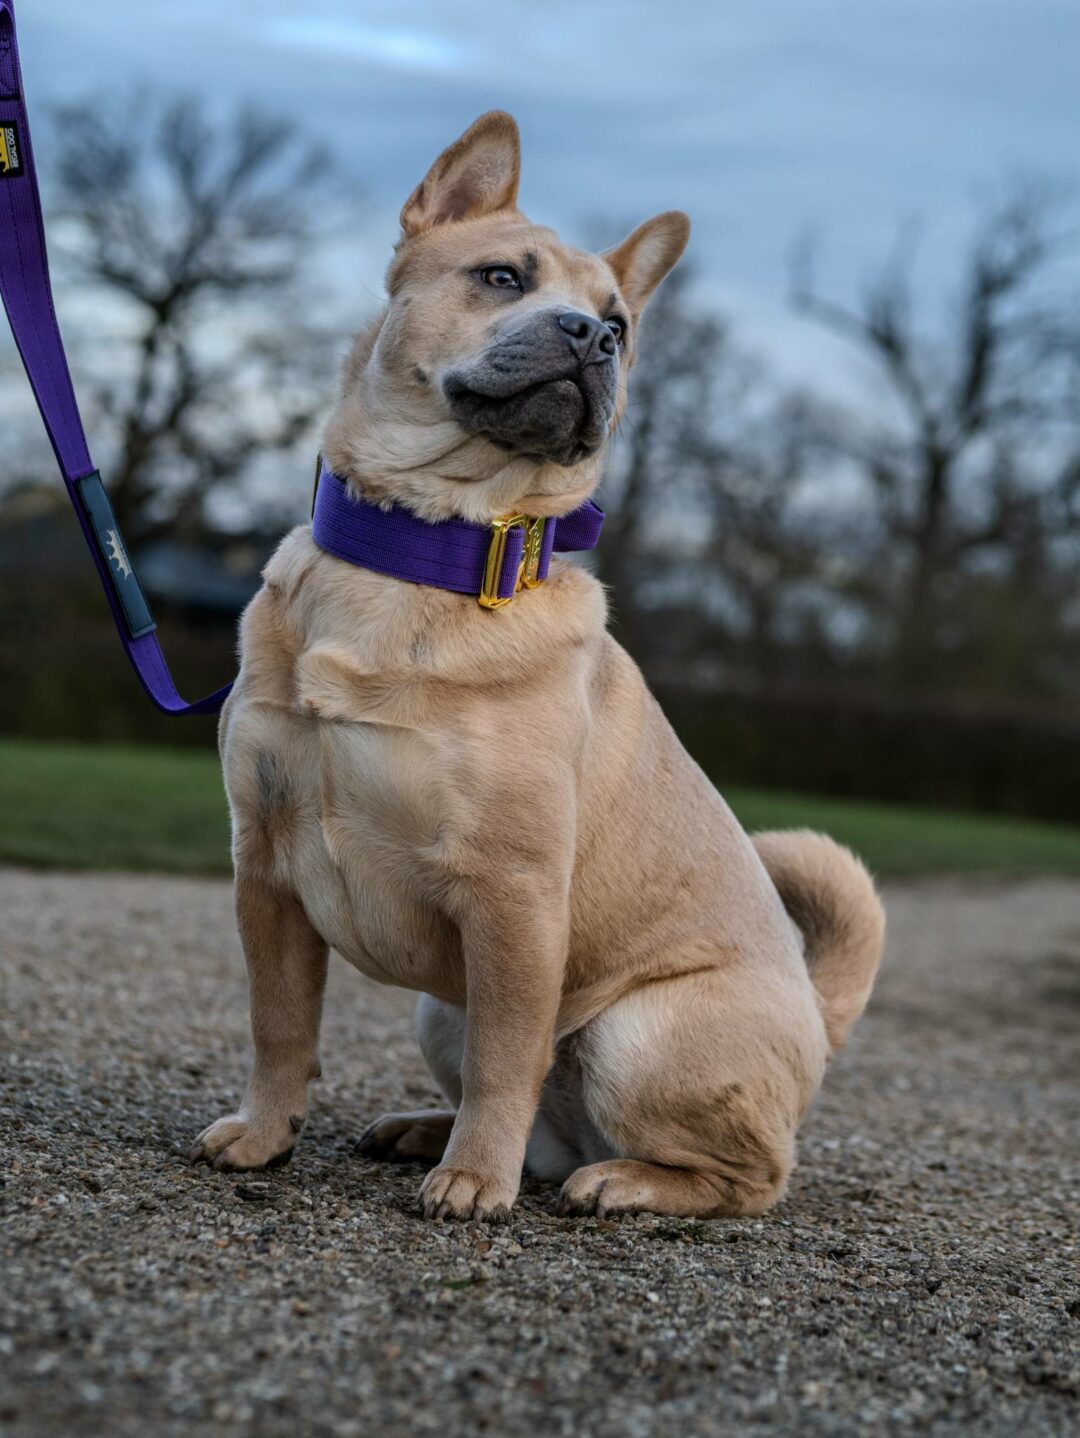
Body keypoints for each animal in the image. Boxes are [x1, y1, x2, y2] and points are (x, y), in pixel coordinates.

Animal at [192, 112, 885, 1219]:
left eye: (622, 325)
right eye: (501, 277)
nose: (593, 338)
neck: (427, 552)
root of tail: (818, 1018)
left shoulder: (511, 897)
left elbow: (507, 1056)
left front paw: (475, 1179)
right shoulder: (265, 866)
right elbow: (280, 1025)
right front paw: (264, 1134)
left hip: (634, 1033)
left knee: (744, 1174)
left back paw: (621, 1181)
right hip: (438, 1009)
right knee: (535, 1122)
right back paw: (427, 1130)